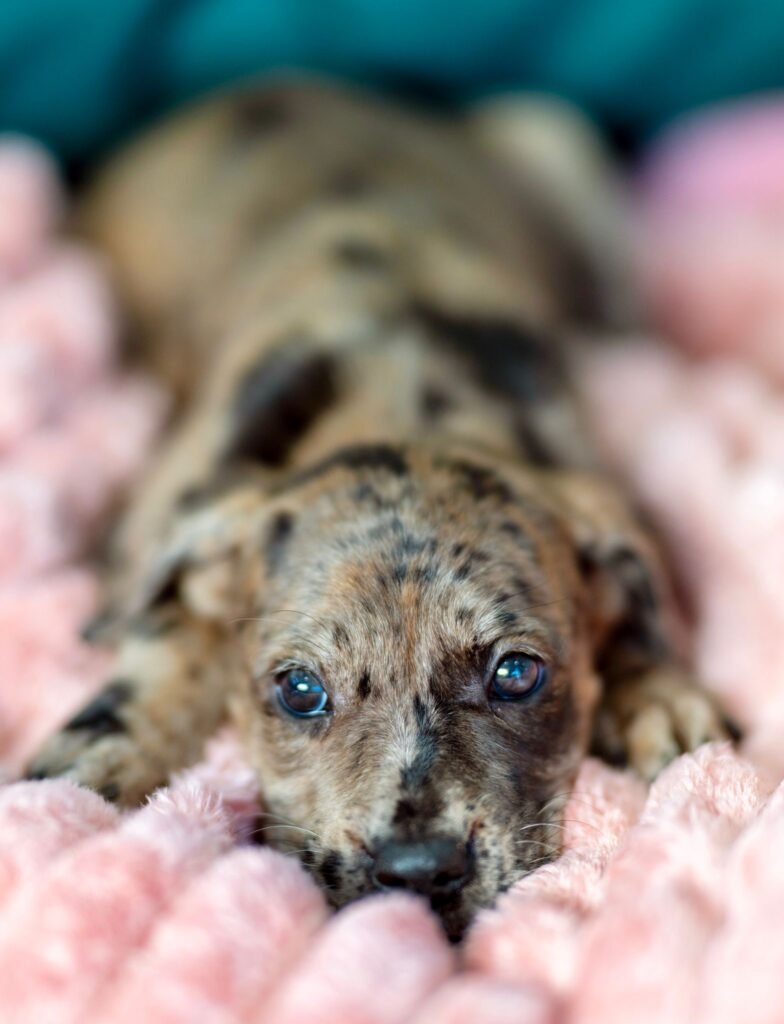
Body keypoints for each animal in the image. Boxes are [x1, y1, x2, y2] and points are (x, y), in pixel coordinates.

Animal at [27, 79, 729, 939]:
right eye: (299, 690)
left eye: (517, 673)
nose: (417, 872)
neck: (406, 391)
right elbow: (172, 630)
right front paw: (110, 740)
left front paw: (656, 694)